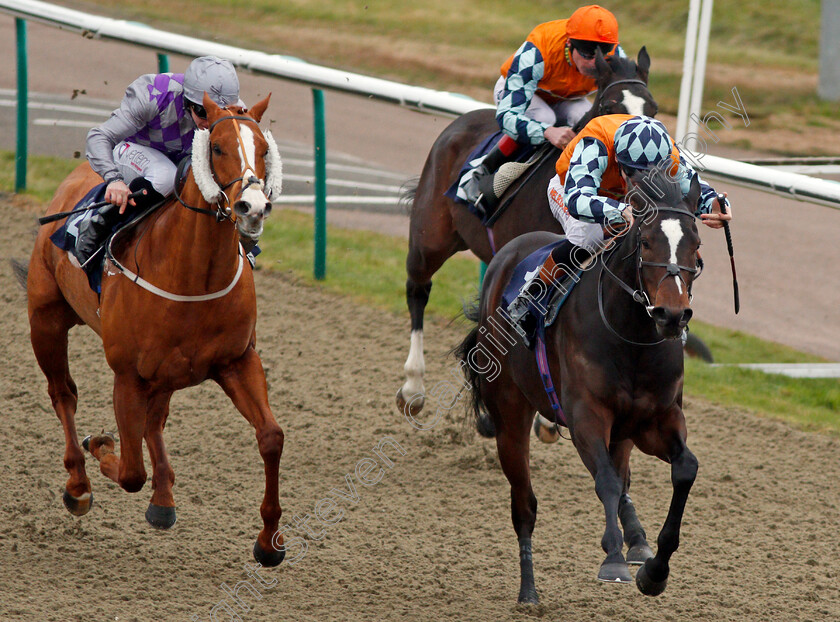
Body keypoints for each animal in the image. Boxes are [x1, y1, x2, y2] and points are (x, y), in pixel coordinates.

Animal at [21, 95, 288, 568]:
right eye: (217, 147)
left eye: (263, 149)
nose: (252, 208)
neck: (192, 275)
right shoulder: (127, 375)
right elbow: (130, 471)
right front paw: (101, 444)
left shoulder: (237, 361)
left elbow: (271, 437)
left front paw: (269, 541)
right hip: (46, 319)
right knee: (63, 394)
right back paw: (78, 484)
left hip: (168, 372)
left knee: (155, 419)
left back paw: (163, 499)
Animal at [398, 48, 660, 420]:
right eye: (610, 106)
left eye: (653, 109)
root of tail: (460, 121)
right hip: (430, 237)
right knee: (418, 289)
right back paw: (413, 387)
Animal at [456, 168, 704, 604]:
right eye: (646, 240)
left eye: (696, 244)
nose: (672, 315)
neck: (632, 336)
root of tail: (505, 255)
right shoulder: (586, 414)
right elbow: (604, 479)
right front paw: (614, 560)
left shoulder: (655, 420)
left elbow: (684, 469)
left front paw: (655, 570)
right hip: (510, 413)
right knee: (524, 505)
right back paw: (529, 591)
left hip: (622, 431)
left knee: (621, 476)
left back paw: (637, 541)